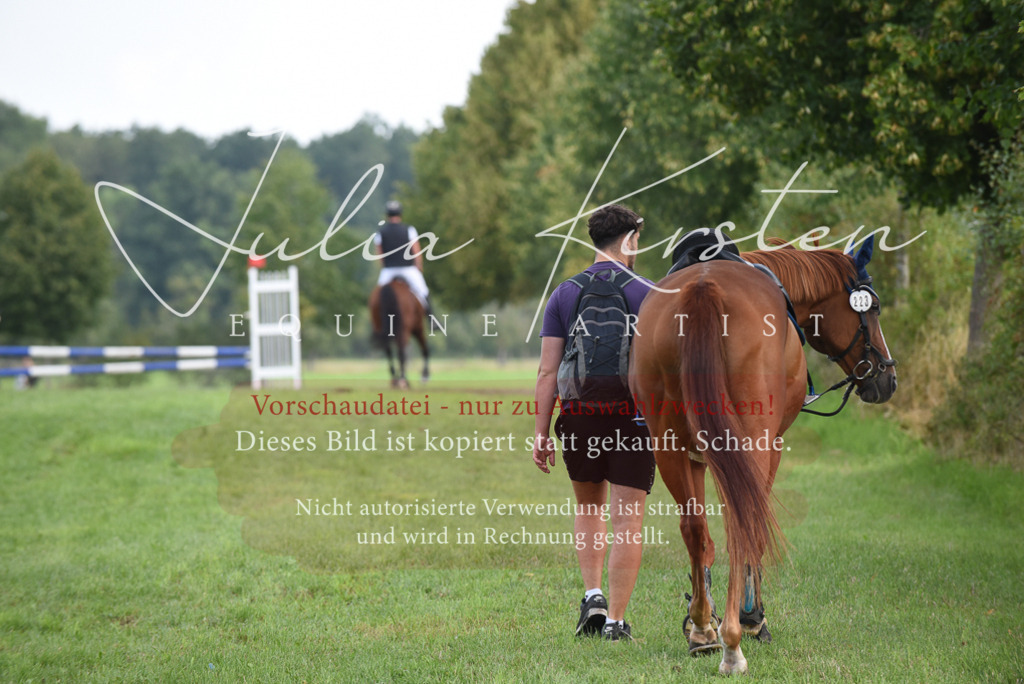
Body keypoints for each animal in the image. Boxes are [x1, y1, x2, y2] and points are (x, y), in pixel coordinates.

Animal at [629, 237, 896, 675]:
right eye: (871, 308)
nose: (887, 377)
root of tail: (704, 289)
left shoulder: (696, 456)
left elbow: (702, 535)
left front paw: (702, 621)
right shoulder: (771, 448)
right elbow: (752, 522)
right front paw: (753, 618)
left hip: (667, 444)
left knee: (695, 528)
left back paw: (704, 630)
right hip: (751, 441)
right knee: (741, 524)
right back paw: (734, 642)